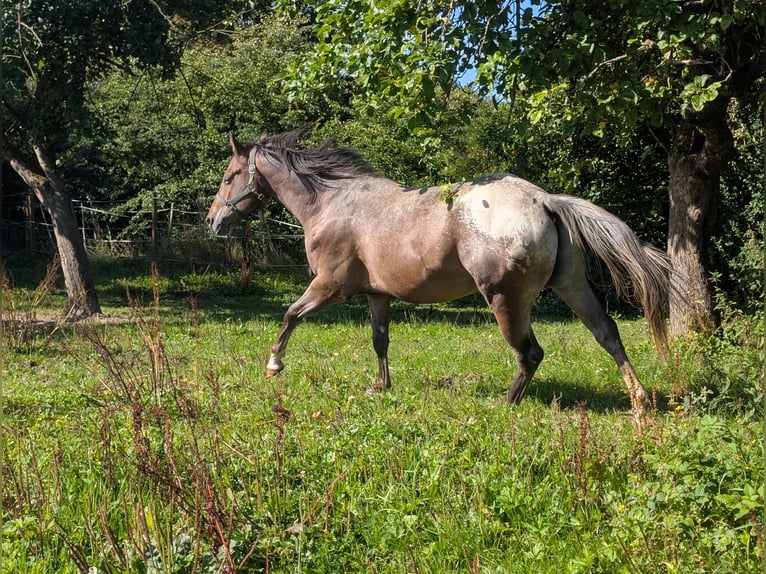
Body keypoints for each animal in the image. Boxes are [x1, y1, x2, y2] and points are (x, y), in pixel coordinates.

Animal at [206, 129, 671, 421]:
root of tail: (544, 199)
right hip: (571, 286)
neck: (331, 203)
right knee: (607, 333)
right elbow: (379, 340)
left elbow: (289, 315)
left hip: (504, 299)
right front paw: (380, 386)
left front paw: (273, 365)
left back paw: (505, 404)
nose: (213, 220)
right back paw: (639, 401)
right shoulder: (377, 294)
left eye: (229, 176)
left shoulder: (330, 287)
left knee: (530, 353)